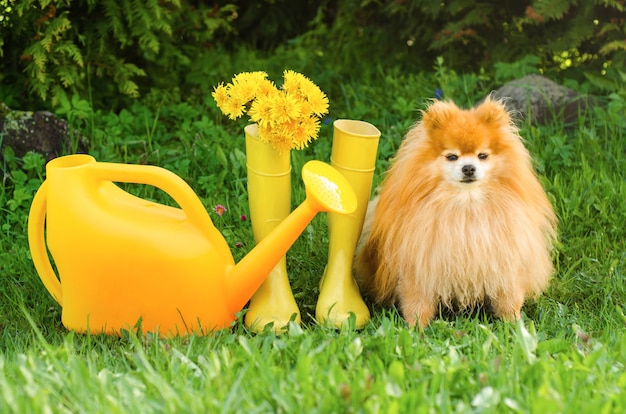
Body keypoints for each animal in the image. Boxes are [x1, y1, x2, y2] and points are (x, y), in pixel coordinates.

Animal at [354, 97, 552, 326]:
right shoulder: (420, 266)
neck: (466, 206)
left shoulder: (504, 261)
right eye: (451, 156)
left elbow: (508, 298)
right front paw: (415, 328)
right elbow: (417, 303)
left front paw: (514, 324)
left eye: (482, 155)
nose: (468, 168)